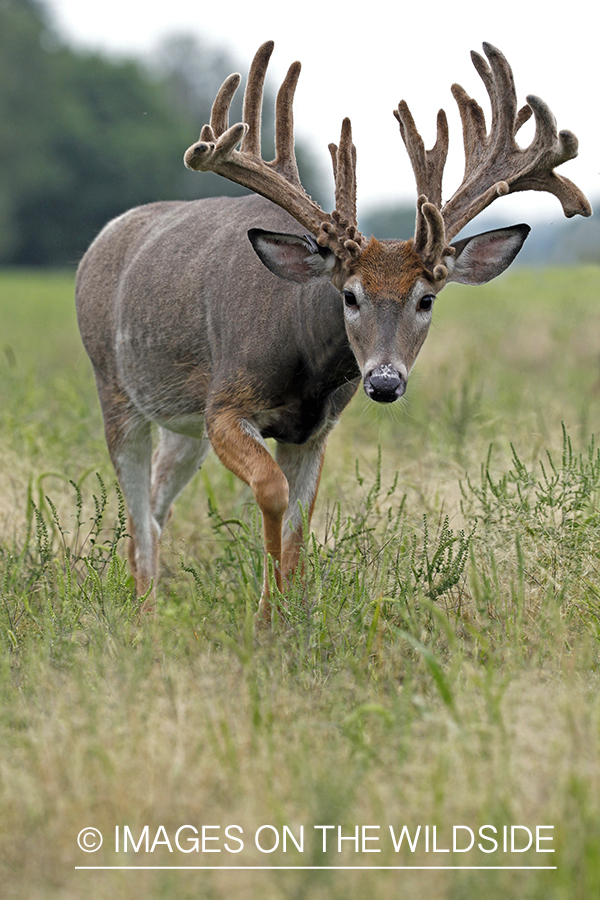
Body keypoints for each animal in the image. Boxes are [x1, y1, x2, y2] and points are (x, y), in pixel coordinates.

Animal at [75, 38, 592, 624]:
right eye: (349, 295)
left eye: (427, 299)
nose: (385, 382)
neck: (305, 371)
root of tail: (99, 242)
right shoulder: (224, 403)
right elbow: (272, 492)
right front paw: (266, 617)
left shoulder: (315, 430)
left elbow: (301, 526)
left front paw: (285, 616)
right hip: (115, 389)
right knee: (137, 511)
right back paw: (143, 615)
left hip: (178, 426)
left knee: (156, 507)